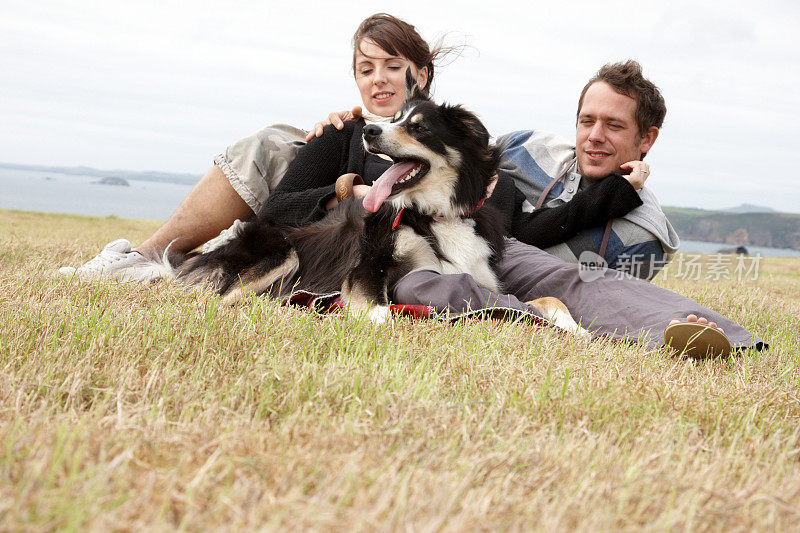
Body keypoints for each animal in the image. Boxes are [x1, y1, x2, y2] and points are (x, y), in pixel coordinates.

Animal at [159, 72, 580, 330]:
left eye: (419, 128)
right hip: (281, 250)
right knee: (214, 302)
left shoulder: (481, 276)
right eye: (394, 119)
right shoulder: (366, 269)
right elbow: (381, 314)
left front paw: (572, 325)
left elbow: (545, 299)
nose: (370, 130)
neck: (434, 214)